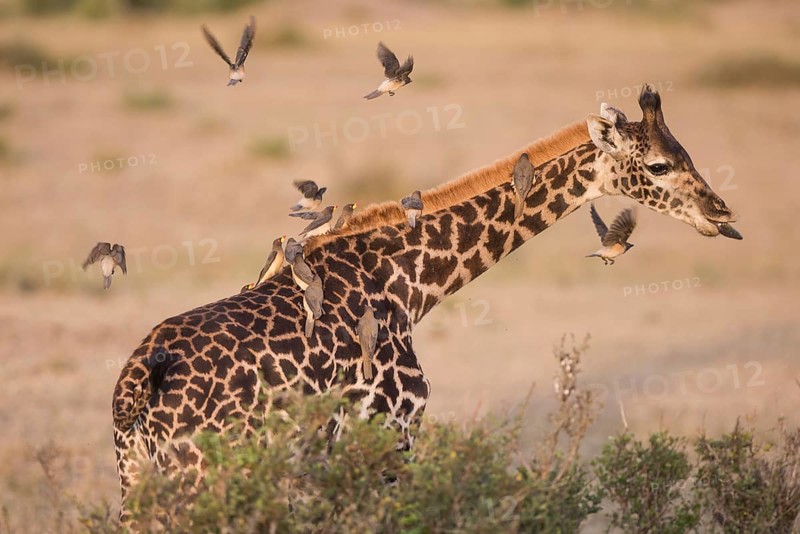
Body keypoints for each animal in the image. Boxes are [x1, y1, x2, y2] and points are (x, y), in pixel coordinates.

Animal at [112, 86, 738, 521]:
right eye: (658, 165)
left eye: (686, 153)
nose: (722, 212)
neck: (409, 282)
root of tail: (138, 377)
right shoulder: (392, 433)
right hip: (197, 478)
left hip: (138, 477)